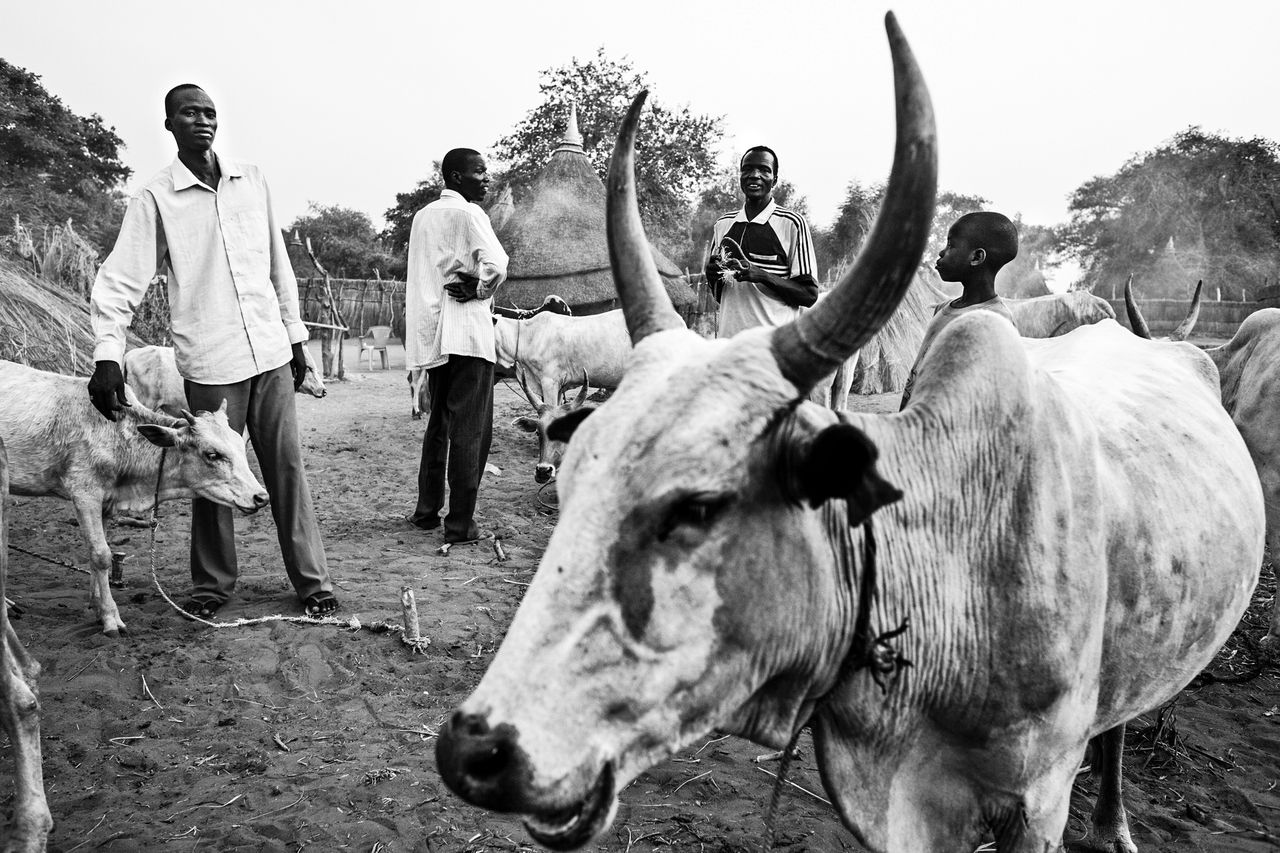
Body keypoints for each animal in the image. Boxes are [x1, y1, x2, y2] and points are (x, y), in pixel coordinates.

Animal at [0, 361, 267, 635]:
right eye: (212, 454)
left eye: (241, 446)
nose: (260, 496)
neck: (117, 434)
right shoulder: (84, 494)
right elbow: (101, 555)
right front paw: (110, 618)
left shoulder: (105, 503)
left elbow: (96, 555)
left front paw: (98, 607)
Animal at [435, 19, 1264, 850]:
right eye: (579, 486)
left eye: (698, 506)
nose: (476, 749)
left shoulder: (1035, 800)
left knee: (1125, 720)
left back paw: (1115, 820)